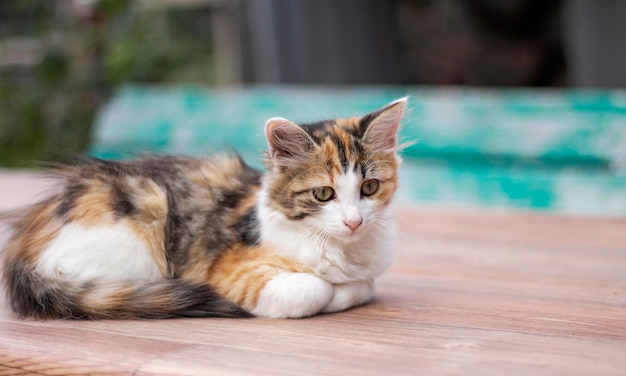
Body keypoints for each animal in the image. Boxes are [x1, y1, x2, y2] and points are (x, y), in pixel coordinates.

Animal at [1, 97, 404, 320]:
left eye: (369, 188)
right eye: (323, 193)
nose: (354, 222)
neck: (342, 250)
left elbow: (363, 285)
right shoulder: (228, 271)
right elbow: (314, 289)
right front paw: (331, 292)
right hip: (143, 225)